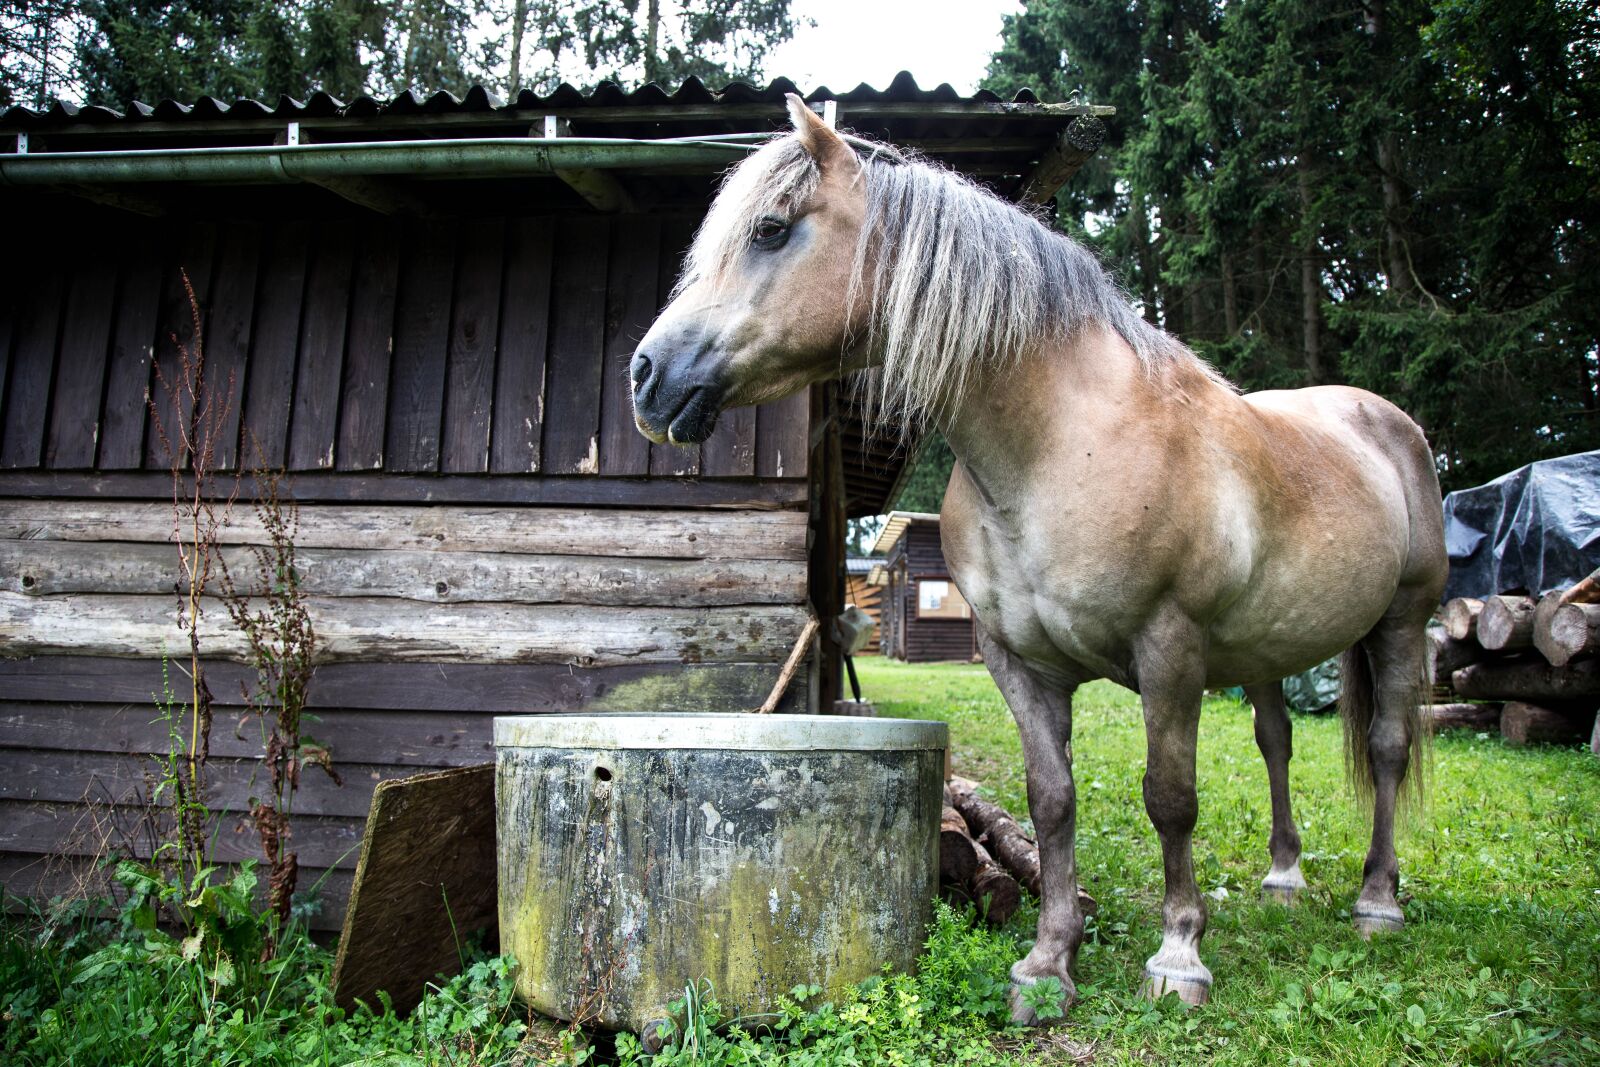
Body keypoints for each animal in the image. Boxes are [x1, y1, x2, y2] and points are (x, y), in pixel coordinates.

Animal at [630, 95, 1447, 1020]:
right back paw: (1284, 876)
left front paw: (1178, 954)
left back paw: (1377, 899)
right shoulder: (1017, 660)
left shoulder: (1170, 650)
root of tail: (1385, 421)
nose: (646, 375)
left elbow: (1171, 800)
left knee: (1387, 746)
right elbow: (1051, 800)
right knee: (1277, 741)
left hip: (1400, 621)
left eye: (771, 229)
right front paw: (1049, 960)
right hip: (1265, 650)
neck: (1061, 444)